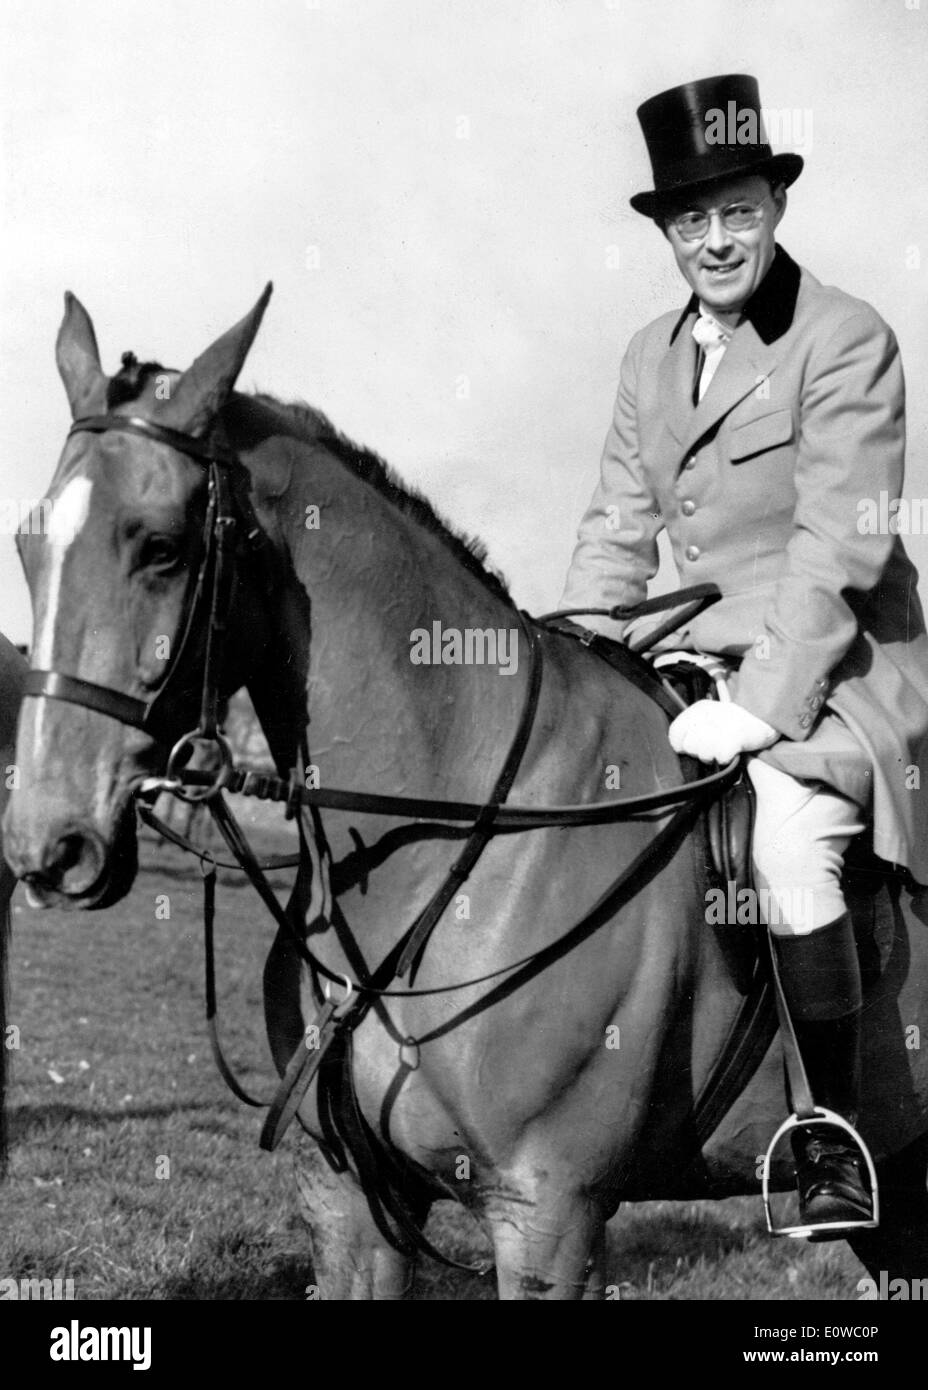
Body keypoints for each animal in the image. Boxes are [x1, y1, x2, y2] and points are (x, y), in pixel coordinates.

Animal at [7, 287, 928, 1295]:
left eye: (163, 549)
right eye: (28, 544)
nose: (48, 844)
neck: (450, 837)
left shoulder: (549, 1219)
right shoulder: (352, 1208)